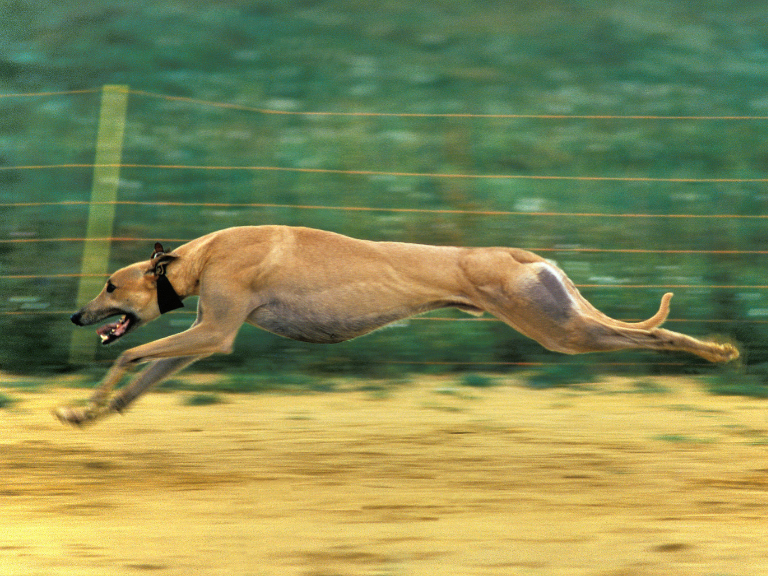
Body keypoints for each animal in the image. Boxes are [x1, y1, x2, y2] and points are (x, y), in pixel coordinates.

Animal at [54, 225, 736, 424]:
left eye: (110, 285)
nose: (77, 315)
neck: (203, 255)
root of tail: (520, 256)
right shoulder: (206, 337)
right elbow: (144, 375)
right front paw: (92, 413)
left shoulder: (215, 331)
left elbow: (127, 355)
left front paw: (84, 404)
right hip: (564, 318)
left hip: (561, 331)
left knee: (651, 334)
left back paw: (715, 352)